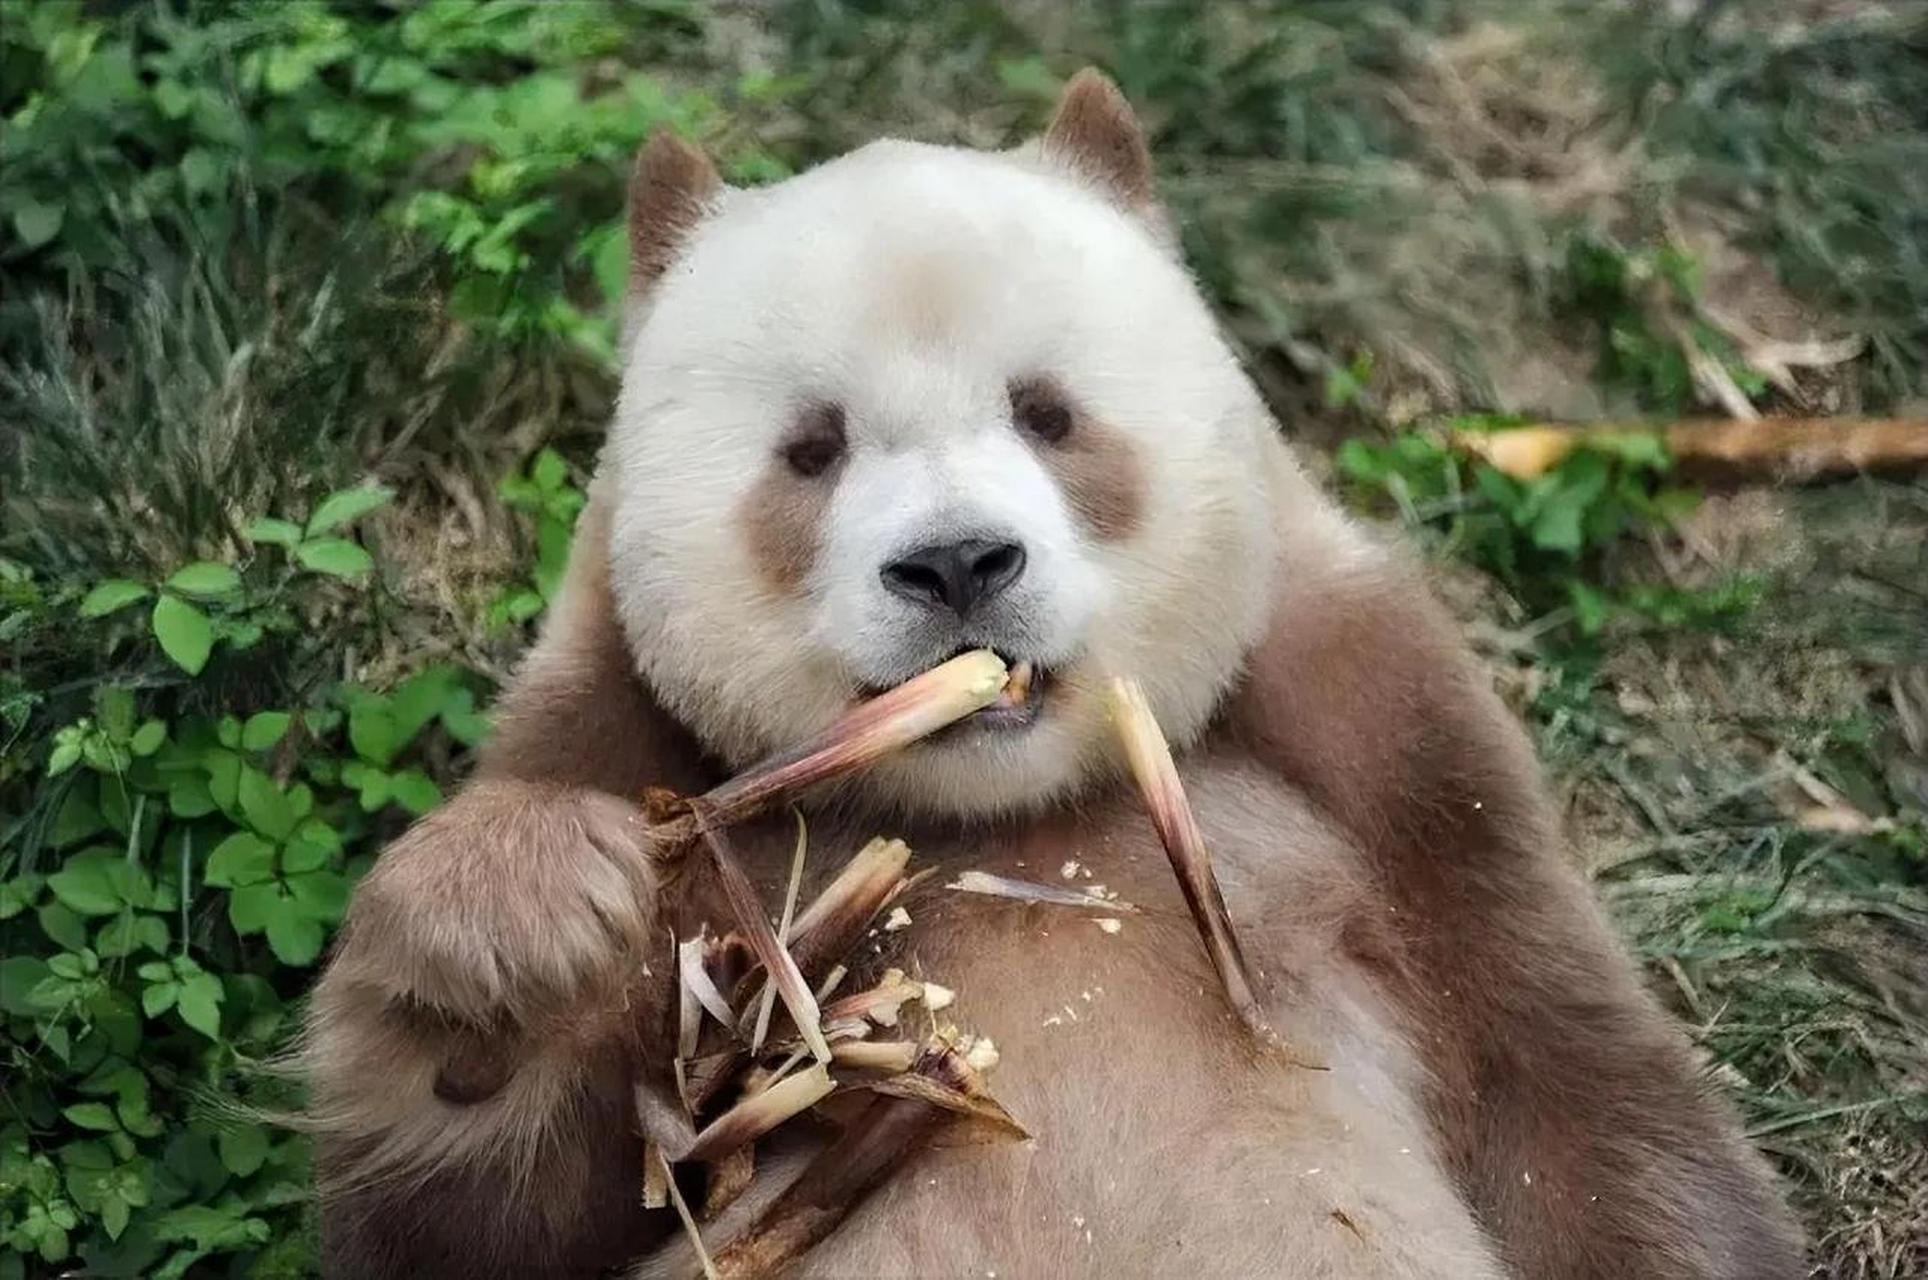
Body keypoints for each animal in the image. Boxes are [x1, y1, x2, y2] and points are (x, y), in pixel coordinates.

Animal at [303, 69, 1805, 1279]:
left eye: (1049, 413)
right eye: (812, 448)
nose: (959, 564)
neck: (1011, 815)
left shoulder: (1388, 757)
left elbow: (1575, 1101)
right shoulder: (623, 735)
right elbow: (491, 1224)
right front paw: (523, 922)